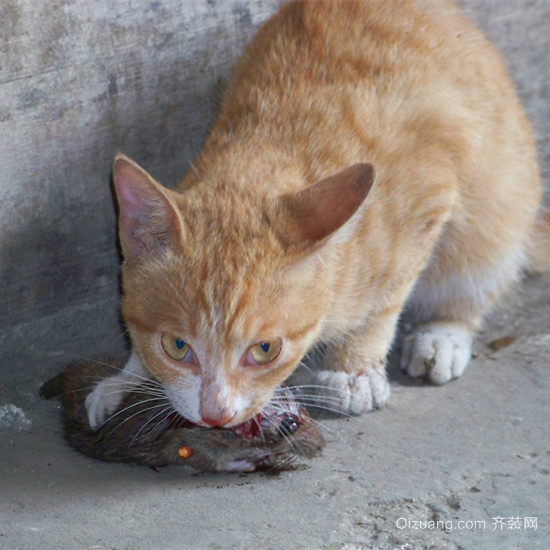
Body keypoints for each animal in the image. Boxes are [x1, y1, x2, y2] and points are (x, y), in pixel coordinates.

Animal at [86, 0, 548, 432]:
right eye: (177, 347)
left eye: (265, 350)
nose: (216, 416)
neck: (267, 153)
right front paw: (127, 376)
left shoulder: (433, 192)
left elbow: (388, 296)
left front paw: (354, 368)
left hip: (499, 207)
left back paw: (442, 334)